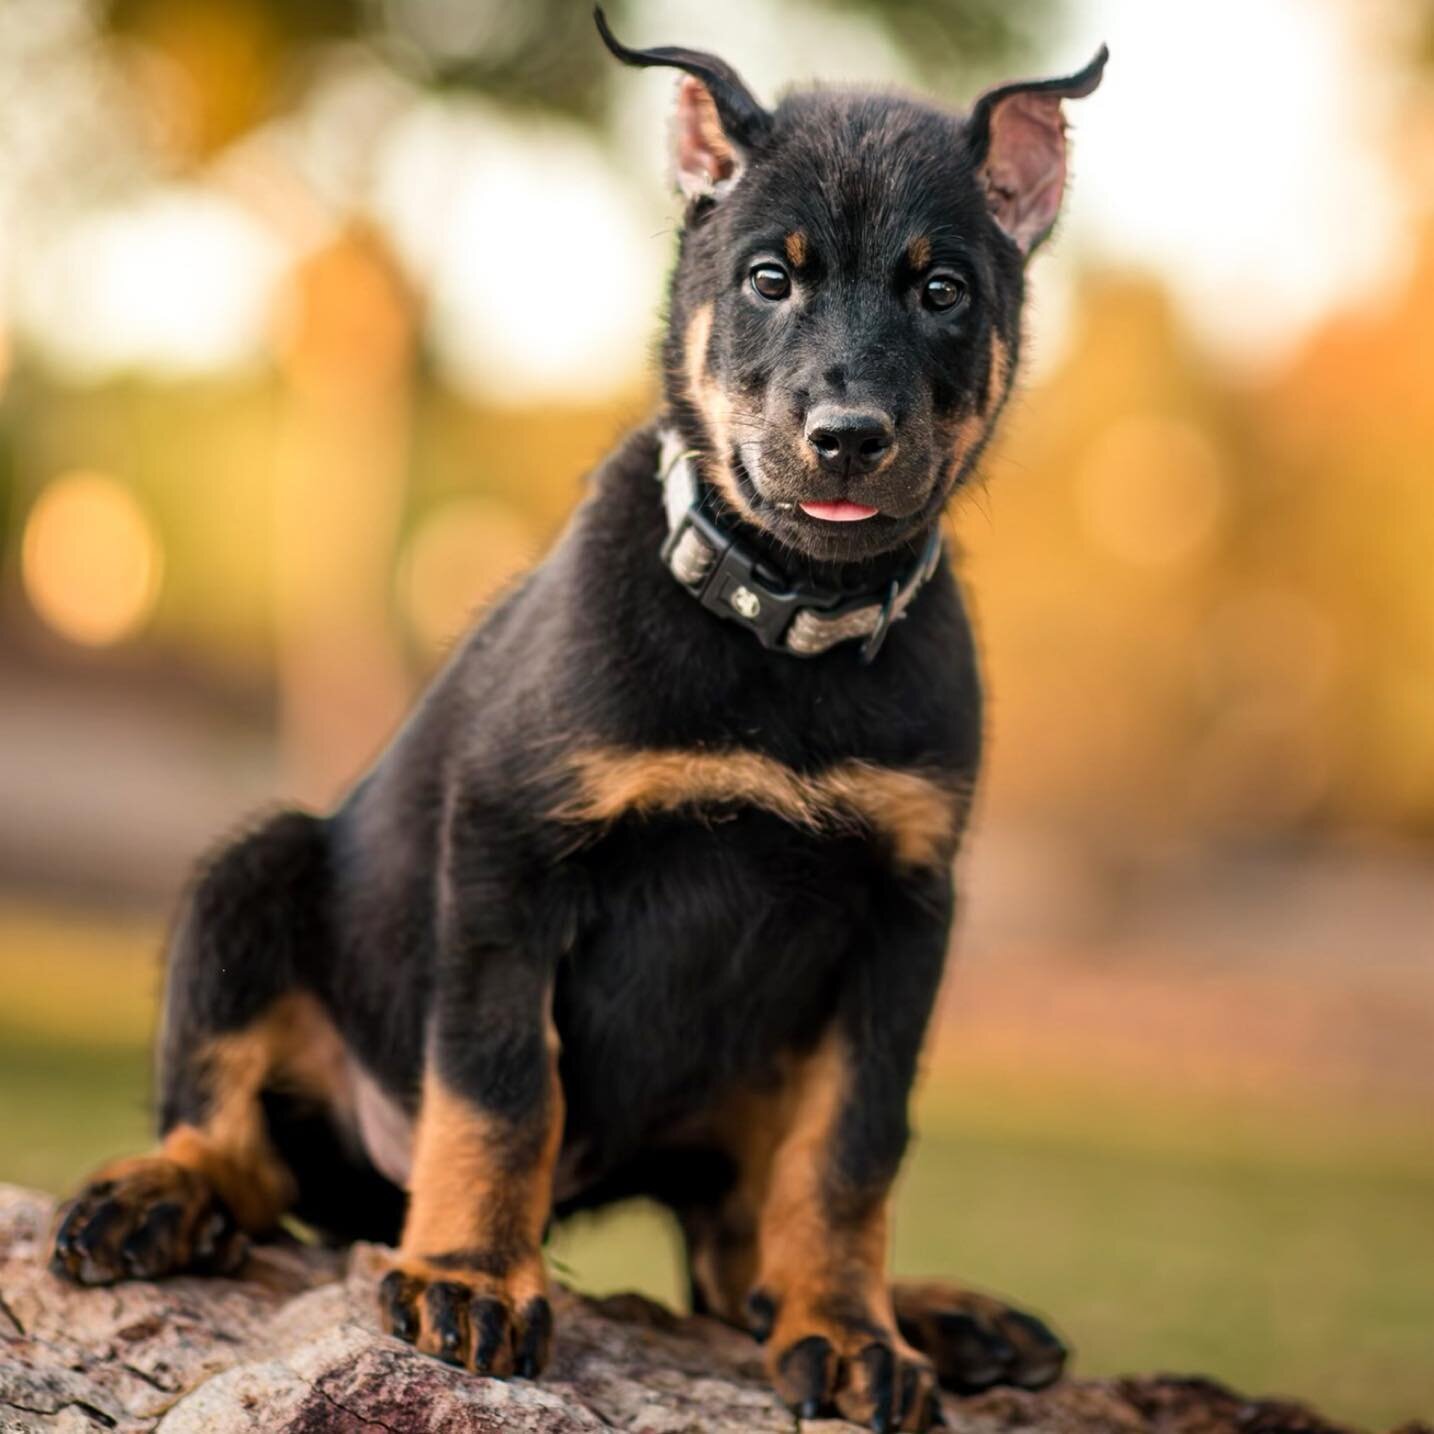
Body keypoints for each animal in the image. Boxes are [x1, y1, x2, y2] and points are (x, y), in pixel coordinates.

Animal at [50, 13, 1101, 1434]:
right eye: (770, 280)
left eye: (942, 292)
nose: (846, 439)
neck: (783, 625)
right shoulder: (511, 852)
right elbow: (502, 1088)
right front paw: (470, 1279)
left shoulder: (905, 911)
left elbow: (852, 1152)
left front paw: (852, 1332)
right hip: (254, 869)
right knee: (251, 1152)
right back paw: (169, 1194)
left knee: (735, 1255)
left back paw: (929, 1310)